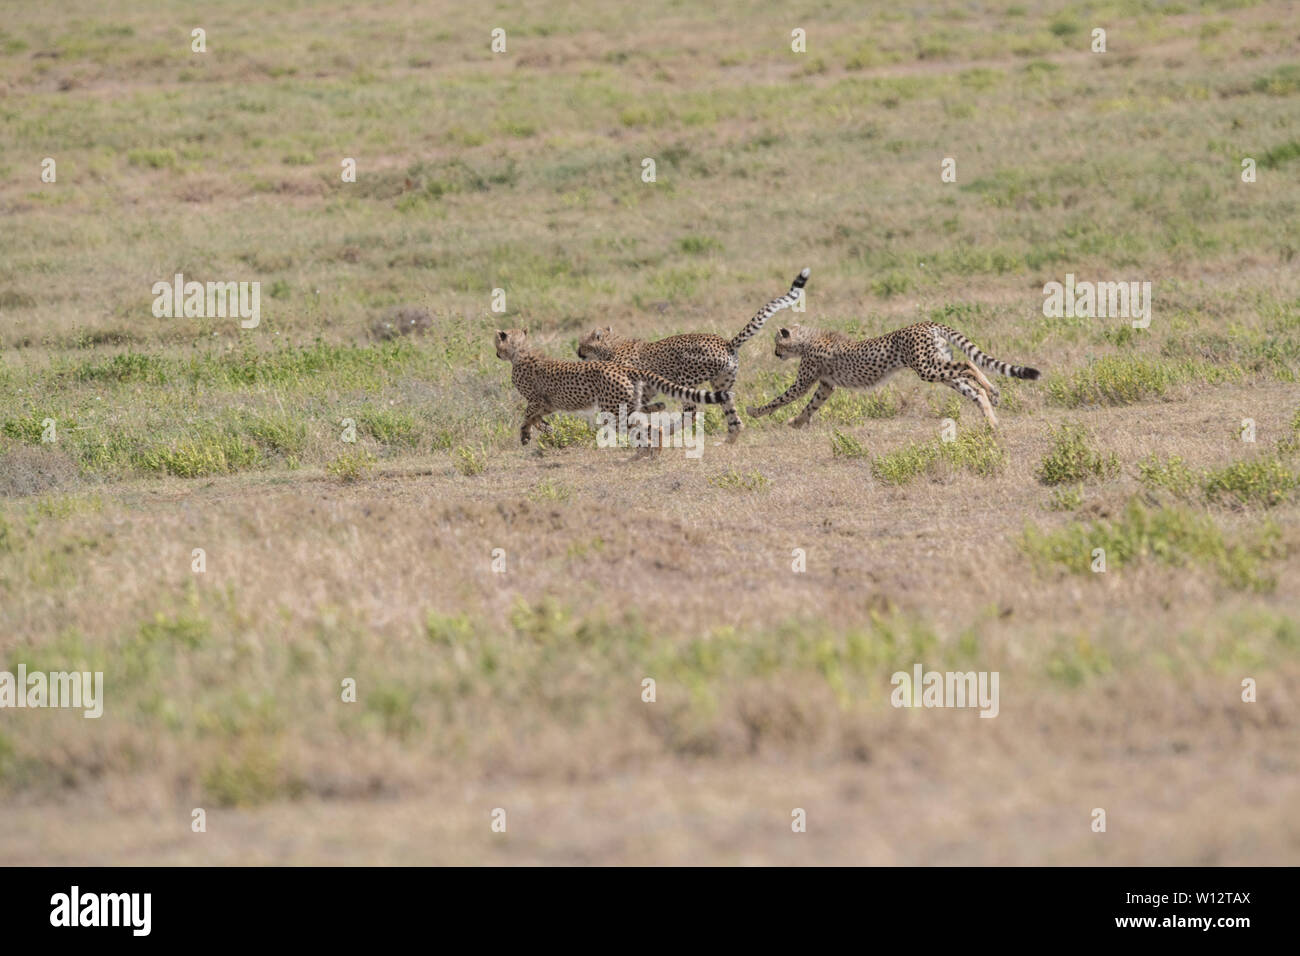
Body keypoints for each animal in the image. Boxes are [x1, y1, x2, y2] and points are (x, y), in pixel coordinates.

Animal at [493, 329, 733, 447]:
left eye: (497, 342)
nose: (496, 353)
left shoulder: (536, 400)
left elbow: (527, 417)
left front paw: (526, 435)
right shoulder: (547, 403)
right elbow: (536, 419)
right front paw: (546, 430)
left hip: (617, 408)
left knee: (655, 424)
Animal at [574, 267, 806, 442]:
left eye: (582, 344)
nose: (576, 352)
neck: (611, 345)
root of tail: (726, 342)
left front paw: (654, 410)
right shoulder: (646, 385)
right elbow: (642, 403)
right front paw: (655, 407)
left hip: (686, 377)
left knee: (691, 413)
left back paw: (670, 430)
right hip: (721, 385)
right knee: (734, 418)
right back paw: (728, 440)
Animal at [748, 323, 1040, 429]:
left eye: (777, 342)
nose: (775, 353)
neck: (806, 340)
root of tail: (928, 323)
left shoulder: (805, 381)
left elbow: (782, 398)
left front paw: (754, 411)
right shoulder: (826, 385)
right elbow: (811, 406)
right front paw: (797, 422)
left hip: (928, 368)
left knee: (968, 363)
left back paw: (994, 394)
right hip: (938, 368)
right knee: (973, 388)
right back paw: (992, 418)